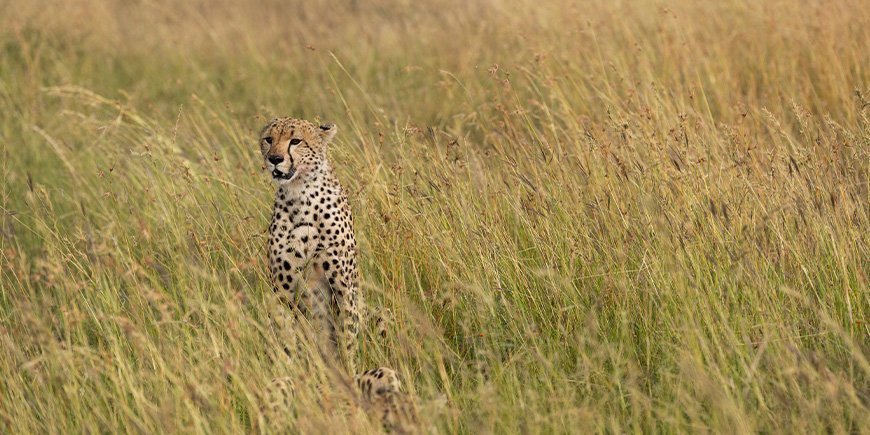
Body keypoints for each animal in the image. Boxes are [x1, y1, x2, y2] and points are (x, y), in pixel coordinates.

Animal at [258, 116, 418, 432]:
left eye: (295, 140)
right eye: (269, 139)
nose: (274, 159)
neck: (300, 195)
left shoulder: (344, 287)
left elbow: (348, 341)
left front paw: (349, 379)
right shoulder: (282, 291)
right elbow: (286, 341)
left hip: (380, 314)